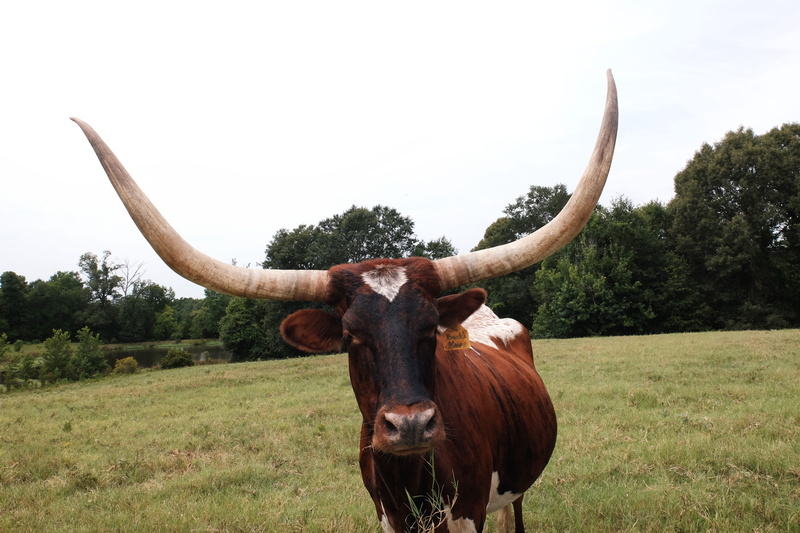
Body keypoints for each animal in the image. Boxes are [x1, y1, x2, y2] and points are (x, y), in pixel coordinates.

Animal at [72, 70, 617, 533]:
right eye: (352, 337)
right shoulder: (386, 516)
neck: (412, 481)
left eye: (430, 330)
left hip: (516, 487)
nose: (411, 424)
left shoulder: (469, 511)